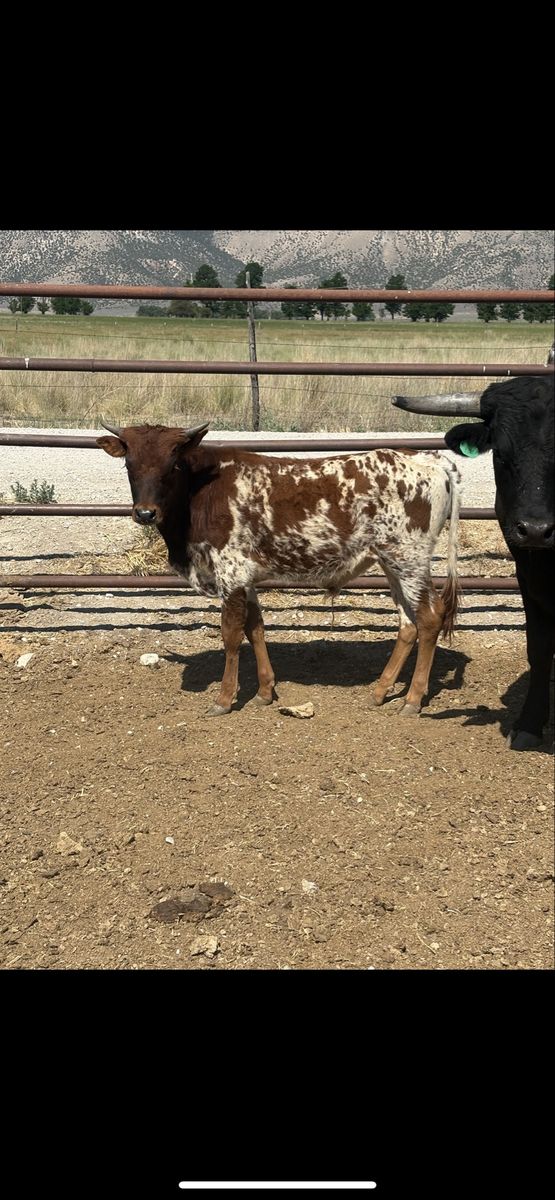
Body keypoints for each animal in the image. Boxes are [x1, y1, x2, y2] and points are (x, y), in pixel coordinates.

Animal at [97, 420, 461, 719]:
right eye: (129, 464)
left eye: (172, 465)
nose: (145, 513)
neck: (201, 492)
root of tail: (429, 458)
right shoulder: (245, 577)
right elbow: (255, 627)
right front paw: (264, 691)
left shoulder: (230, 572)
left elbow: (231, 634)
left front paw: (224, 699)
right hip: (391, 562)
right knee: (408, 624)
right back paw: (380, 691)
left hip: (409, 558)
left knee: (429, 618)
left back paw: (412, 699)